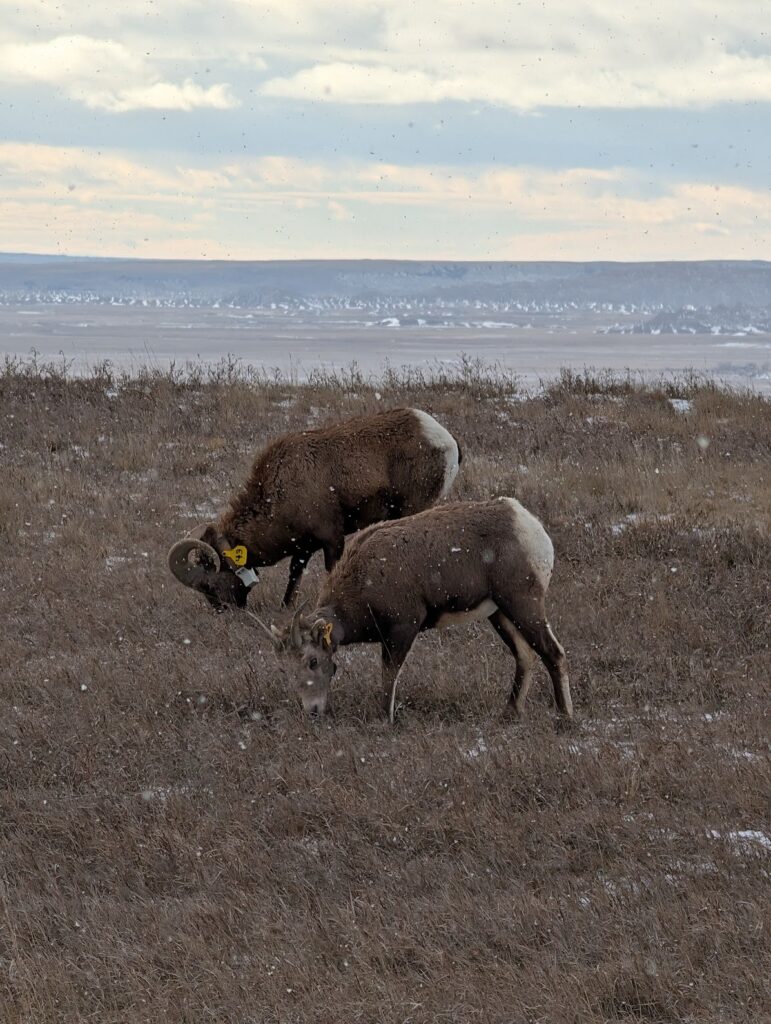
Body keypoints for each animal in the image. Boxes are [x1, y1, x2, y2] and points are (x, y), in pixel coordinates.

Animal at [167, 407, 461, 611]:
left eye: (208, 584)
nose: (223, 611)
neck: (279, 492)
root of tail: (446, 440)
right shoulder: (303, 547)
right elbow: (294, 576)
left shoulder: (332, 540)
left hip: (414, 508)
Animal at [262, 496, 572, 722]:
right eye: (284, 669)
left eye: (313, 661)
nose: (312, 711)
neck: (364, 579)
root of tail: (528, 524)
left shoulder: (403, 629)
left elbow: (389, 675)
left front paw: (383, 720)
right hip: (500, 614)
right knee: (525, 655)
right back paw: (510, 713)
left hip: (523, 605)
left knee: (553, 652)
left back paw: (564, 717)